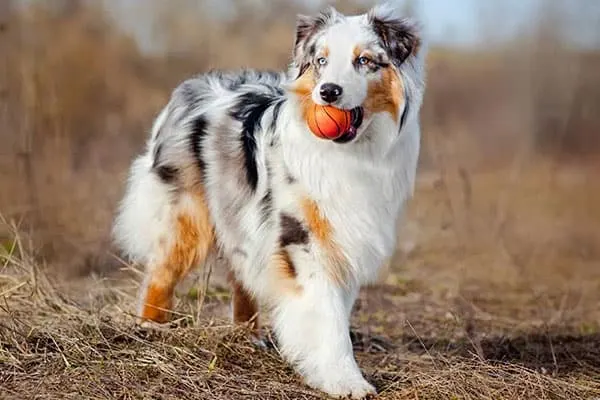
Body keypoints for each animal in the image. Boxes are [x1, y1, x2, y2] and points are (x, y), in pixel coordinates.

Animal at [111, 2, 422, 396]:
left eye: (364, 60)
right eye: (321, 61)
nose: (328, 92)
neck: (351, 154)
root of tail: (192, 87)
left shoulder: (344, 238)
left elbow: (334, 309)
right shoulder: (302, 238)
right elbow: (327, 317)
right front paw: (345, 380)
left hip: (240, 217)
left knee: (241, 274)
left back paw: (248, 336)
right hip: (186, 215)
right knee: (161, 272)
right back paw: (151, 327)